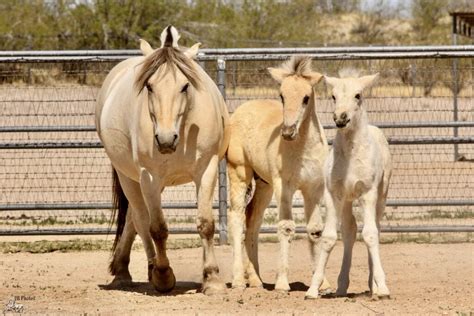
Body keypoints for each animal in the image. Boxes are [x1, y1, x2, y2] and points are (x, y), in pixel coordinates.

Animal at [95, 25, 229, 296]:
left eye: (185, 86)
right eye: (149, 86)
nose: (166, 139)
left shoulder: (207, 169)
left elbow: (206, 224)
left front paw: (212, 278)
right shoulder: (149, 175)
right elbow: (157, 227)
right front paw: (164, 275)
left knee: (133, 219)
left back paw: (123, 269)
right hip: (128, 176)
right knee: (140, 218)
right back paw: (144, 269)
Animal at [306, 71, 390, 298]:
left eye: (358, 95)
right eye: (333, 96)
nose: (340, 118)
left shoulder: (368, 193)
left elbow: (370, 234)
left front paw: (382, 287)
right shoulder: (333, 193)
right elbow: (328, 237)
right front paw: (313, 288)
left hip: (381, 196)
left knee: (375, 228)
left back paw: (373, 286)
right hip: (346, 200)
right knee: (350, 230)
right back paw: (342, 286)